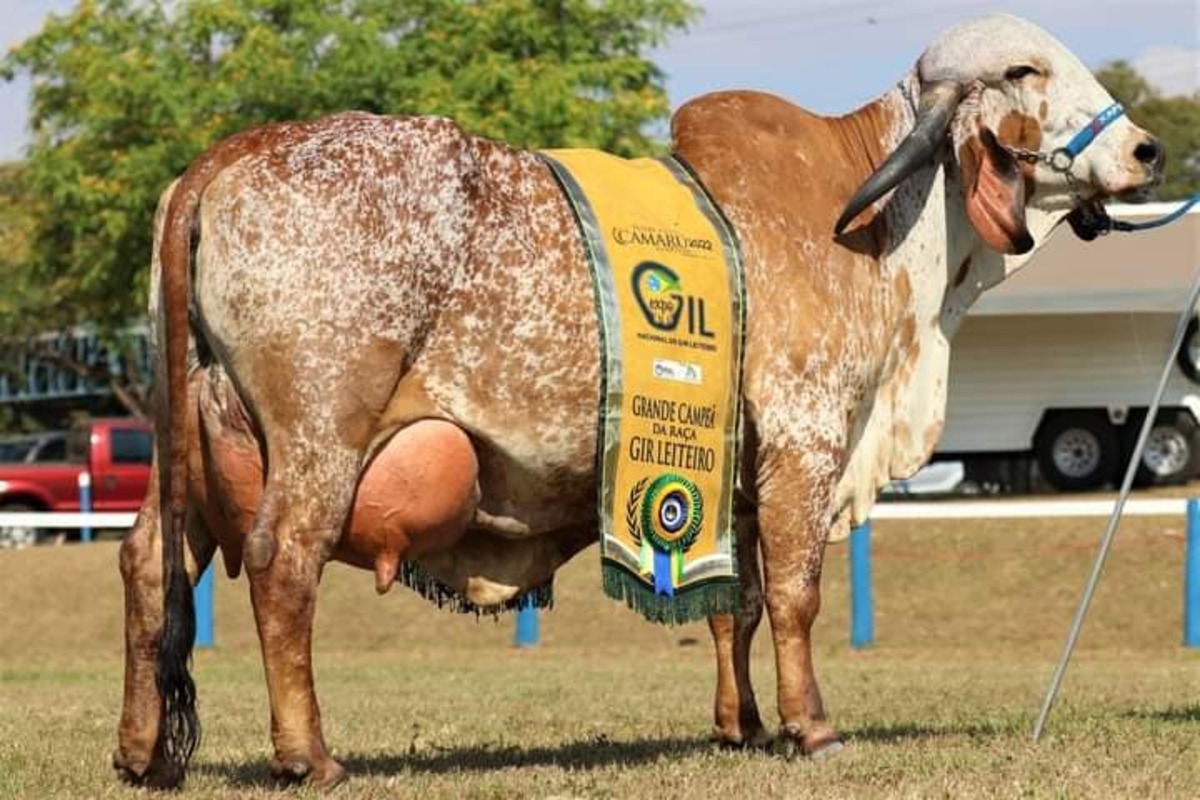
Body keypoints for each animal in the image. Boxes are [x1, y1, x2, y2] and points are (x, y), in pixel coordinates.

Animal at [113, 14, 1163, 789]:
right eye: (1027, 68)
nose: (1149, 149)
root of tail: (229, 155)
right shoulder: (807, 436)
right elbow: (795, 594)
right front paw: (812, 727)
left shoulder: (733, 478)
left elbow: (734, 604)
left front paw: (742, 726)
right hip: (318, 436)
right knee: (282, 565)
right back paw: (310, 756)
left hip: (187, 445)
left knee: (148, 562)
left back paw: (141, 753)